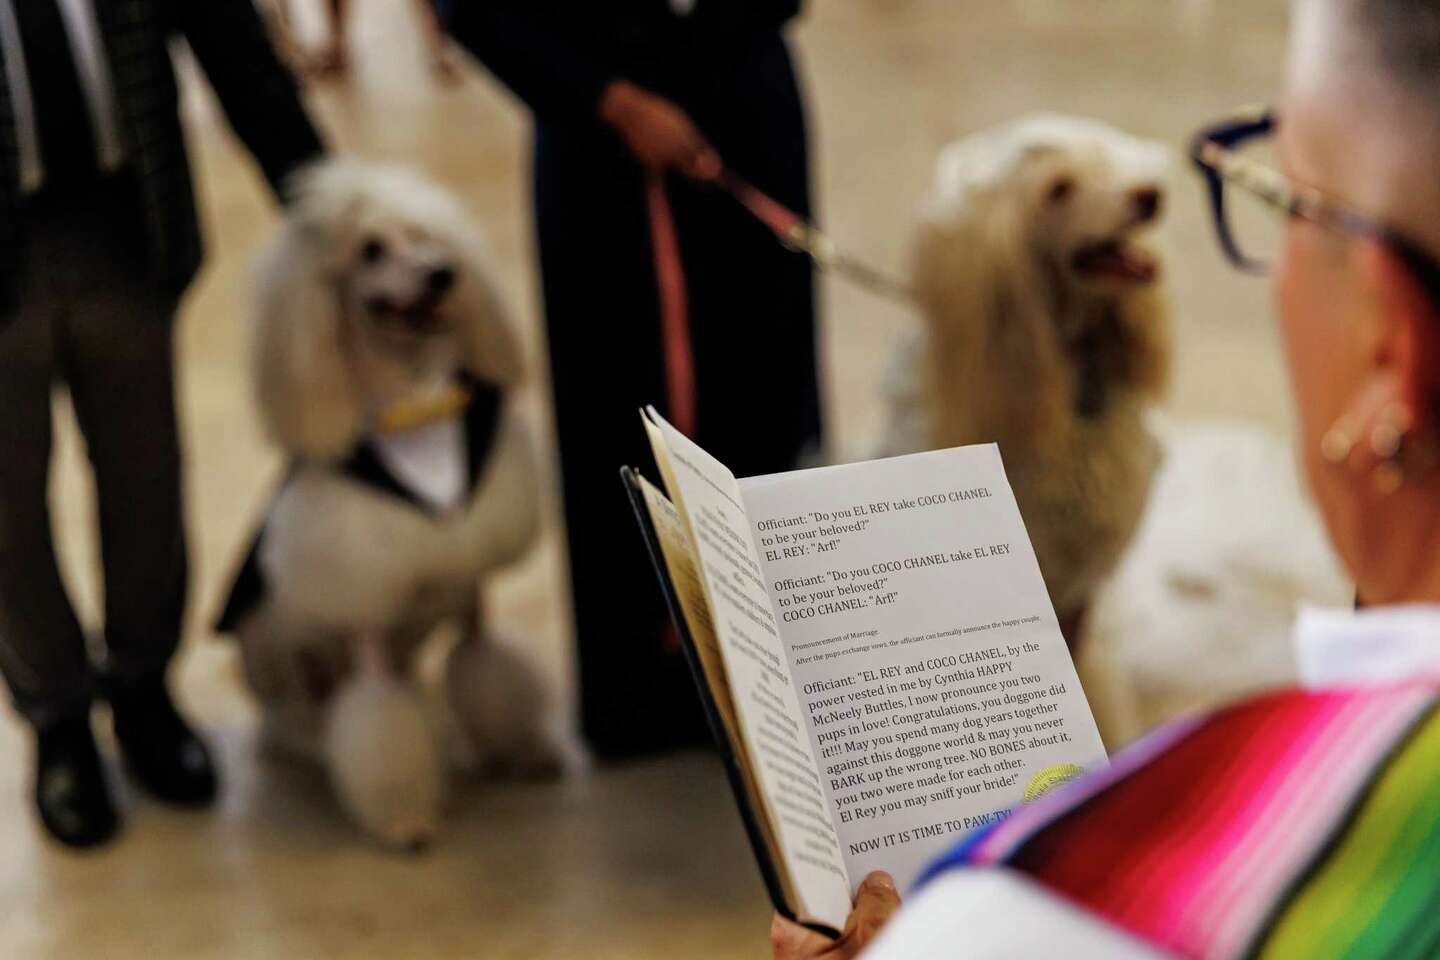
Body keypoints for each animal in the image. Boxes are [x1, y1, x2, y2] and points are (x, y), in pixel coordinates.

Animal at [221, 161, 558, 852]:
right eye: (371, 249)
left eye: (429, 236)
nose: (442, 273)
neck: (419, 409)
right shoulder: (365, 620)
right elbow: (380, 723)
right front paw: (403, 817)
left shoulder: (472, 596)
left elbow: (489, 670)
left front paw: (524, 754)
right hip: (272, 648)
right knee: (294, 712)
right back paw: (303, 741)